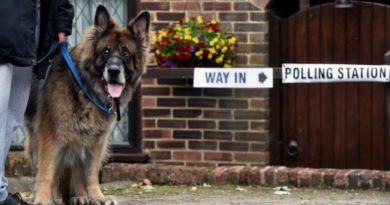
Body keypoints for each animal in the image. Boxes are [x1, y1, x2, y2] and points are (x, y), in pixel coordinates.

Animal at [24, 5, 149, 204]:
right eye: (106, 51)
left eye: (125, 52)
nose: (114, 71)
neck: (84, 89)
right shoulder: (51, 137)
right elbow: (47, 171)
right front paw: (42, 198)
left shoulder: (96, 140)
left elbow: (90, 173)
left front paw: (97, 196)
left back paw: (80, 195)